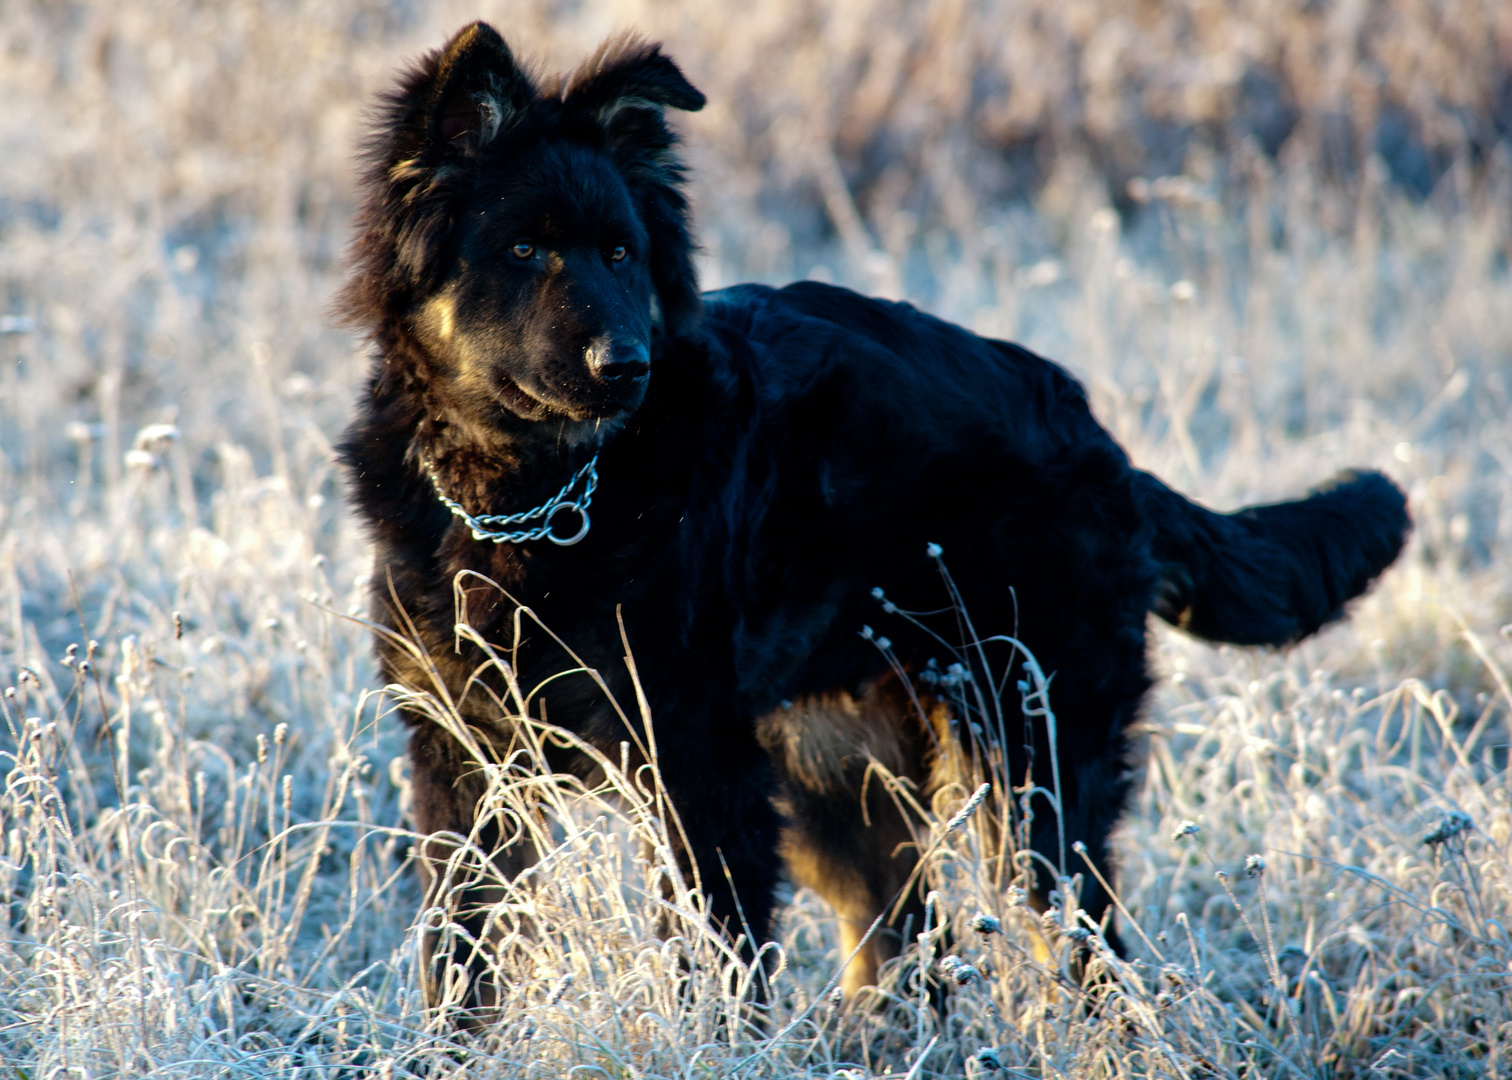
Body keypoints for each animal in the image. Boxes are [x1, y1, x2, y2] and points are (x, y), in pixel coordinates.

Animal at [337, 20, 1409, 1016]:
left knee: (1079, 945)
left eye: (620, 253)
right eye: (522, 250)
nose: (627, 367)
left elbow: (709, 968)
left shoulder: (696, 767)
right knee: (906, 941)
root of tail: (1093, 431)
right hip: (832, 774)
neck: (535, 495)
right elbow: (461, 965)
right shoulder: (461, 764)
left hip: (1028, 763)